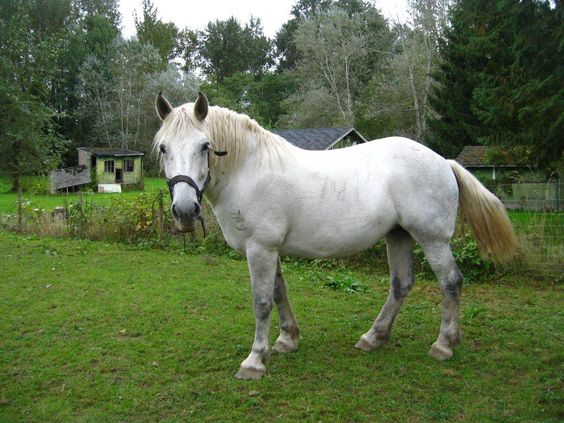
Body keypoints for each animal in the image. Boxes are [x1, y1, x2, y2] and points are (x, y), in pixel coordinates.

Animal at [154, 93, 520, 380]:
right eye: (163, 148)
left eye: (205, 146)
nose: (185, 211)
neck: (250, 169)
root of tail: (443, 161)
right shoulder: (270, 250)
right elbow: (279, 293)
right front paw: (288, 340)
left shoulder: (260, 249)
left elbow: (262, 302)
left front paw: (255, 360)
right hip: (398, 235)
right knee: (401, 284)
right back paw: (374, 337)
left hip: (432, 239)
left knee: (451, 282)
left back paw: (444, 344)